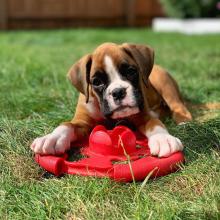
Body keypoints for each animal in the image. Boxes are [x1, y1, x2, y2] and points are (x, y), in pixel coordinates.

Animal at [30, 42, 192, 157]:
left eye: (131, 71)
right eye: (96, 82)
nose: (118, 92)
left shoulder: (144, 116)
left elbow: (155, 124)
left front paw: (163, 139)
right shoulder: (82, 122)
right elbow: (67, 125)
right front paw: (51, 138)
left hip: (164, 82)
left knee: (178, 106)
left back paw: (184, 122)